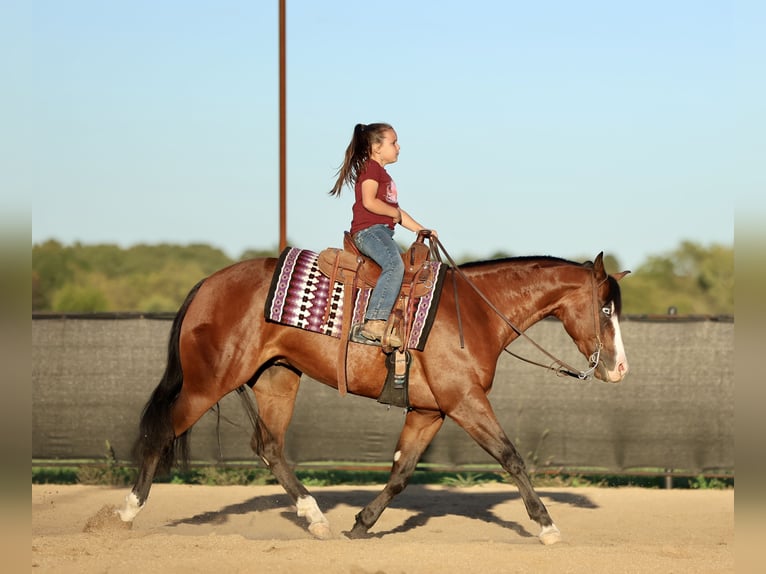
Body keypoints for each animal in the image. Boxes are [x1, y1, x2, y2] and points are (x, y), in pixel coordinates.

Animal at [117, 244, 629, 545]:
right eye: (605, 309)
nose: (620, 368)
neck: (476, 313)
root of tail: (208, 284)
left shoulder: (429, 411)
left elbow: (401, 473)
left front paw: (362, 524)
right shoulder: (464, 401)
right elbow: (511, 457)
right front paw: (546, 525)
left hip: (277, 379)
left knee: (269, 447)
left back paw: (316, 518)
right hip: (208, 382)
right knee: (162, 432)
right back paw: (125, 513)